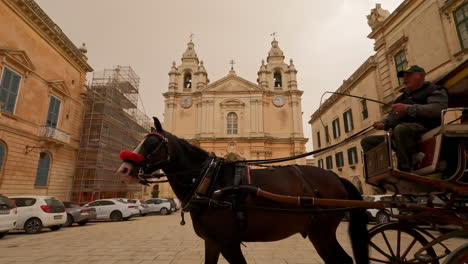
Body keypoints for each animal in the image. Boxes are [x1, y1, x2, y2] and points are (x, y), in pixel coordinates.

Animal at [118, 118, 370, 264]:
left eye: (152, 144)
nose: (124, 168)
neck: (211, 180)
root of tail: (336, 177)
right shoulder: (212, 242)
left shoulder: (228, 243)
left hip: (322, 233)